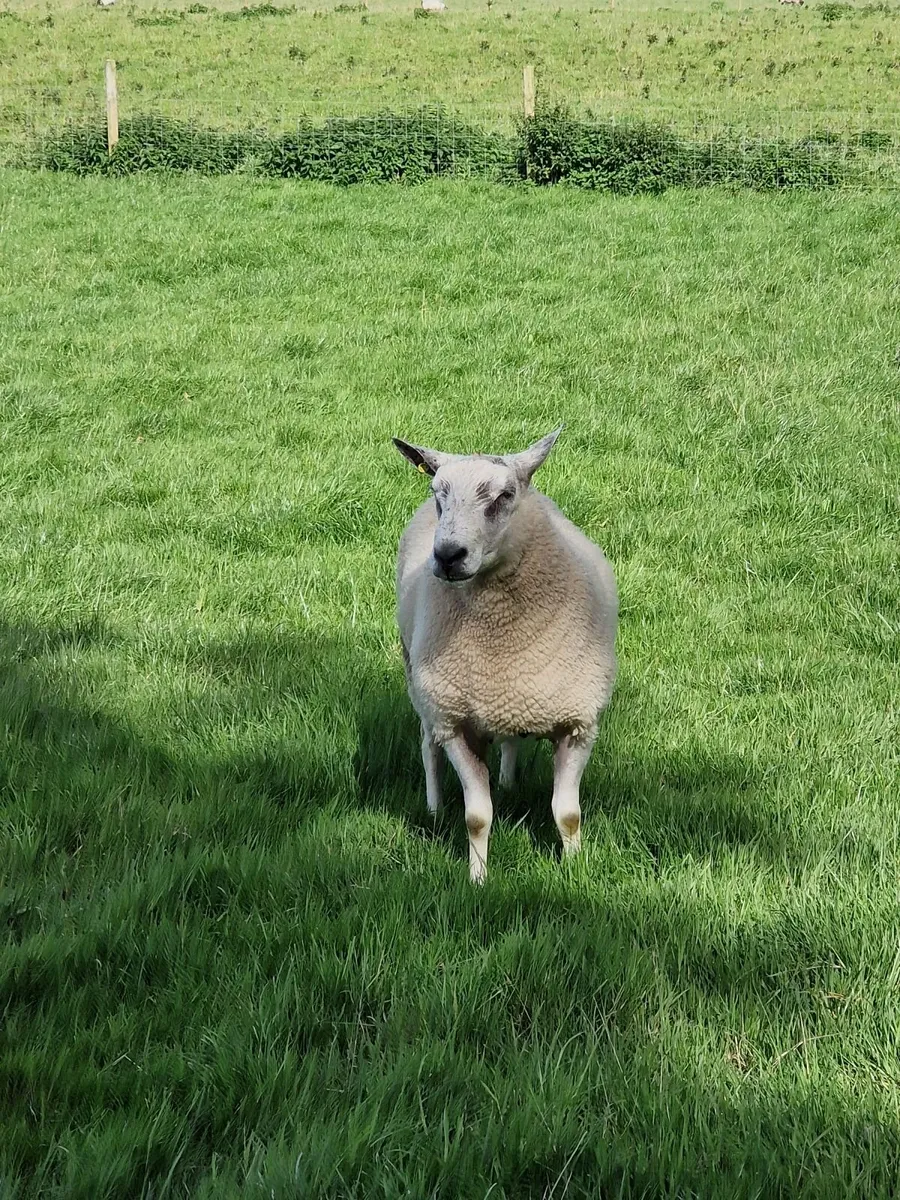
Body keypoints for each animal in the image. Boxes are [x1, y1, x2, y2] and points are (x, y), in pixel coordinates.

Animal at [393, 427, 617, 883]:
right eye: (438, 493)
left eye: (505, 494)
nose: (448, 556)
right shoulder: (456, 725)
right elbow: (477, 817)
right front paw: (478, 879)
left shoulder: (579, 722)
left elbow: (568, 814)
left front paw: (576, 872)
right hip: (421, 685)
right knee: (428, 744)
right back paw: (433, 808)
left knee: (512, 739)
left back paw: (511, 784)